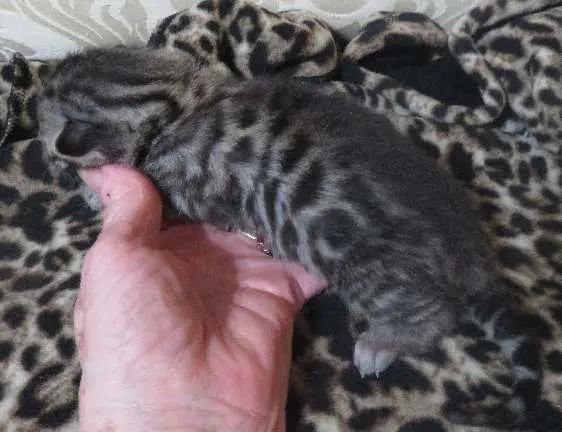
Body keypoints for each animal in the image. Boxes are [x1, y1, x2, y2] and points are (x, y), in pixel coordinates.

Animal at [35, 45, 540, 426]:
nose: (35, 89)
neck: (177, 104)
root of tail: (470, 250)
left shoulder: (188, 191)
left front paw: (93, 192)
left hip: (366, 269)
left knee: (435, 313)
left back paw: (383, 341)